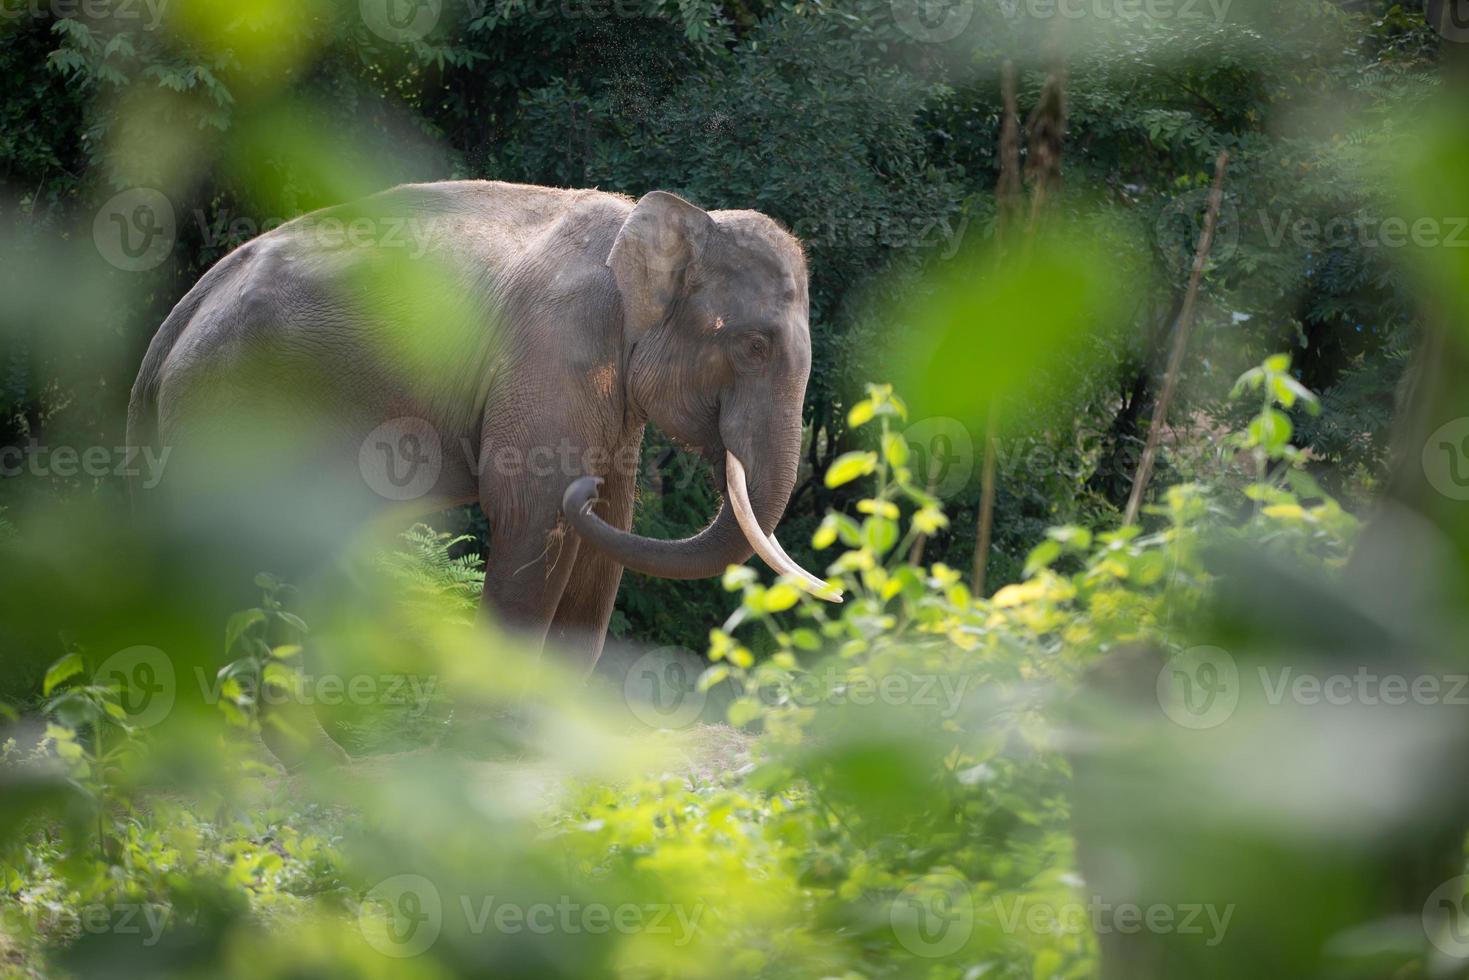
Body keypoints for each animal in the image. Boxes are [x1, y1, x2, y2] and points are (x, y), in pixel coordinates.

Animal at [132, 178, 846, 758]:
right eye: (755, 345)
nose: (840, 594)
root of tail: (178, 320)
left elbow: (607, 530)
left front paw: (544, 745)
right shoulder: (555, 349)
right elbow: (534, 512)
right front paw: (484, 749)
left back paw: (310, 763)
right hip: (233, 411)